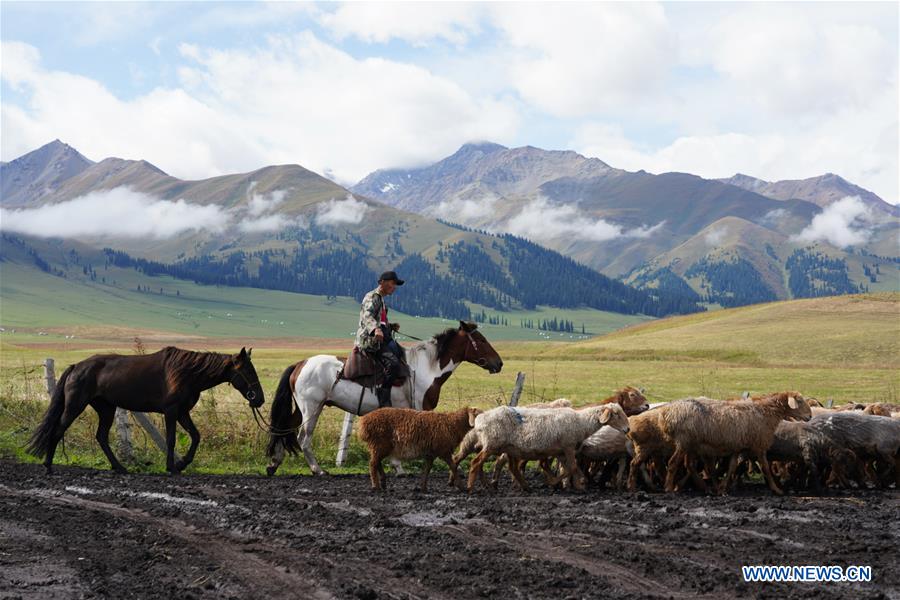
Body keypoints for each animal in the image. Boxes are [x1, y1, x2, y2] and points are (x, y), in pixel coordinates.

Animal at [25, 346, 264, 474]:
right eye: (248, 371)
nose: (260, 399)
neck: (187, 373)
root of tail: (77, 366)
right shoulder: (172, 411)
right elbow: (171, 440)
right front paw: (172, 466)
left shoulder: (183, 412)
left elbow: (196, 436)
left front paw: (182, 463)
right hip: (75, 405)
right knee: (58, 430)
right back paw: (48, 465)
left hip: (106, 409)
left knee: (101, 436)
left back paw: (119, 467)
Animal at [268, 322, 502, 476]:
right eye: (481, 340)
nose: (498, 363)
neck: (426, 368)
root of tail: (301, 363)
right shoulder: (420, 409)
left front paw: (397, 466)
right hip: (312, 408)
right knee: (303, 438)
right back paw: (318, 470)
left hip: (302, 410)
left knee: (284, 428)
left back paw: (274, 463)